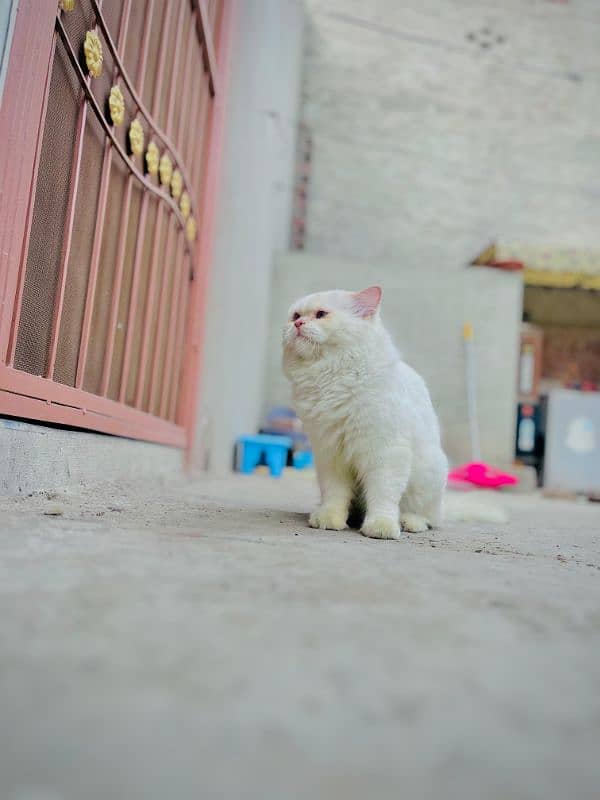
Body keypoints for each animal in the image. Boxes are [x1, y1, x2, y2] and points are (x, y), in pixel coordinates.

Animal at [282, 284, 450, 540]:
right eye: (295, 316)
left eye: (321, 314)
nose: (298, 324)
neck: (330, 376)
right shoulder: (330, 455)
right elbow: (335, 494)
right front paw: (329, 519)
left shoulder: (385, 452)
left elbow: (383, 496)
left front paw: (381, 527)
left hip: (428, 474)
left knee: (428, 517)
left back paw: (409, 522)